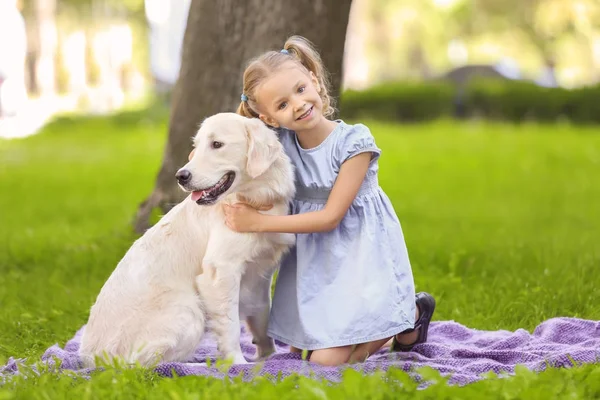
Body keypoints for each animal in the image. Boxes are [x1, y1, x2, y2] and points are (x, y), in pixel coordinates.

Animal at [79, 113, 296, 368]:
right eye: (196, 146)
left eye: (216, 144)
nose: (180, 176)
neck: (255, 199)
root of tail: (90, 358)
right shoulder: (220, 270)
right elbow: (230, 325)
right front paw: (238, 364)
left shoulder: (260, 272)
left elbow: (262, 315)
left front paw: (267, 357)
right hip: (190, 308)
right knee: (142, 365)